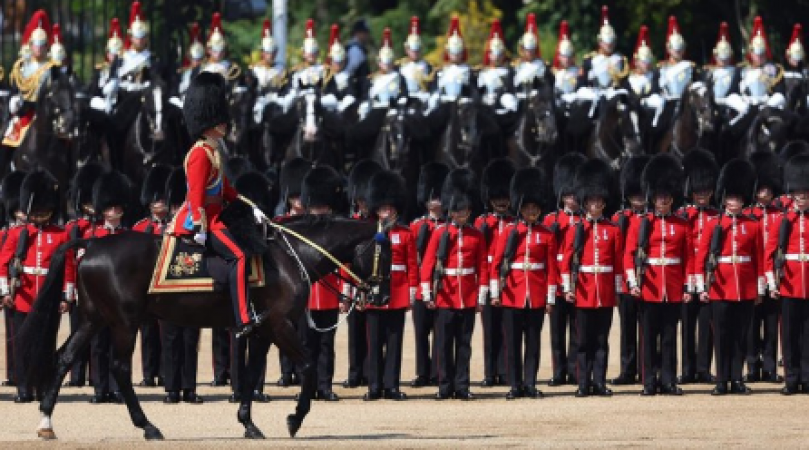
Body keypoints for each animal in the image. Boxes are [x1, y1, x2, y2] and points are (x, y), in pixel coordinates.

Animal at [15, 214, 388, 440]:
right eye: (385, 252)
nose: (381, 297)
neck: (291, 256)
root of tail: (92, 243)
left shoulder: (263, 330)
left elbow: (250, 374)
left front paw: (248, 422)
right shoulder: (281, 325)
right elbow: (308, 364)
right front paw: (294, 419)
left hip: (94, 318)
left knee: (64, 358)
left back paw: (46, 422)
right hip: (124, 321)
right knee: (119, 367)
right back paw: (147, 426)